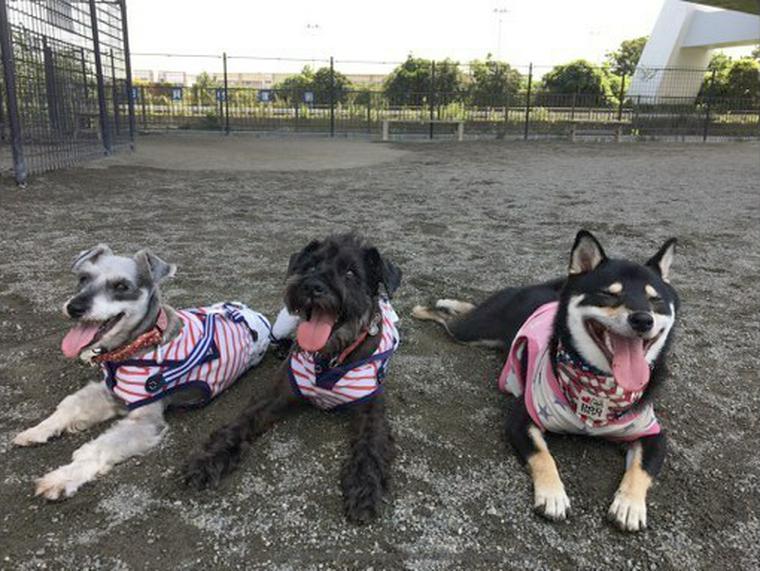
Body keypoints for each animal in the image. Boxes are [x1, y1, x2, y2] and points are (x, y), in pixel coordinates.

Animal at [13, 245, 272, 500]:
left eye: (121, 286)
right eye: (83, 278)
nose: (74, 307)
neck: (133, 346)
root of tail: (249, 311)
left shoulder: (145, 420)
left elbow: (99, 448)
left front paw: (62, 477)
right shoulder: (109, 391)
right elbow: (70, 406)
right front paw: (37, 430)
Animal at [183, 232, 400, 524]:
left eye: (350, 273)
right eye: (311, 266)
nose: (312, 286)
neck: (328, 358)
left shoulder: (371, 409)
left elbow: (371, 447)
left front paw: (365, 487)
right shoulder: (277, 393)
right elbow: (240, 423)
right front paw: (208, 459)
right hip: (284, 323)